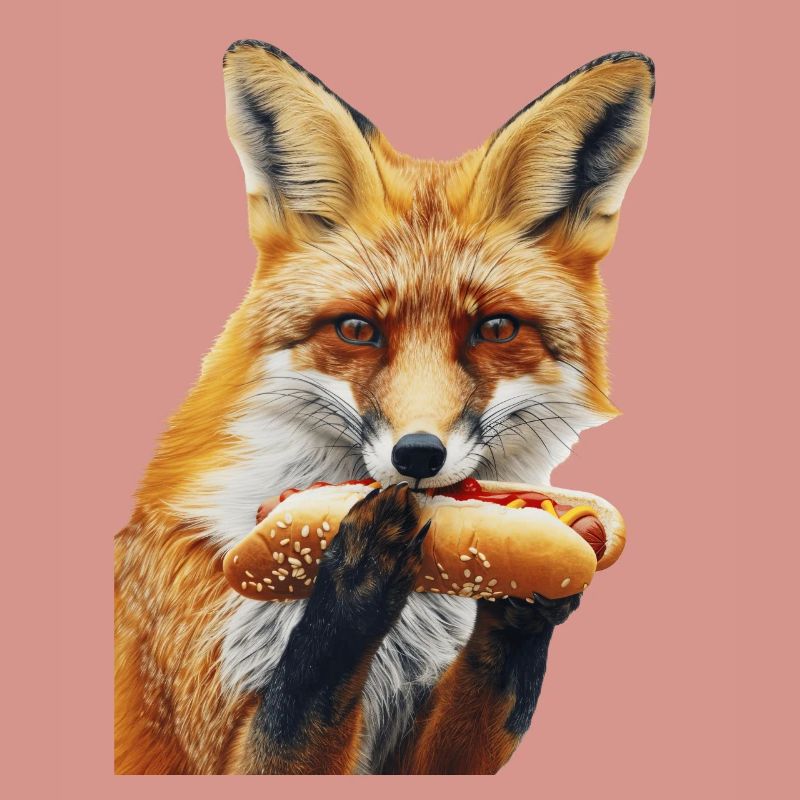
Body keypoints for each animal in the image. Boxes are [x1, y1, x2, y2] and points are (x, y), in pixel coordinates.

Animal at [114, 40, 654, 774]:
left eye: (495, 329)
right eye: (357, 330)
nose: (418, 455)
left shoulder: (419, 754)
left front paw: (529, 599)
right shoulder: (211, 733)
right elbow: (305, 686)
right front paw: (356, 574)